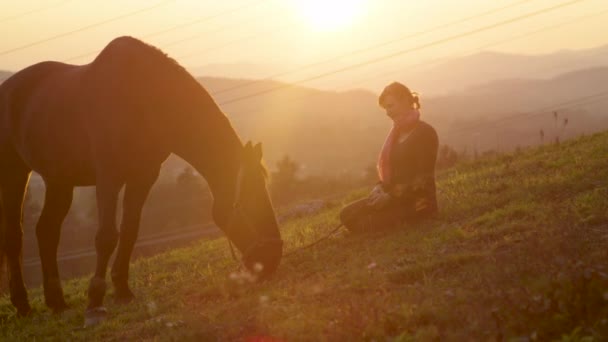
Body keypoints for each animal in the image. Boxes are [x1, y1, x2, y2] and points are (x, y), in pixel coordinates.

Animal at [0, 36, 284, 320]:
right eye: (243, 201)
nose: (272, 258)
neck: (143, 96)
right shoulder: (109, 177)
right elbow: (106, 236)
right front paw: (95, 300)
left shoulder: (144, 176)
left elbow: (130, 231)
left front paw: (122, 290)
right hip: (15, 174)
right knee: (14, 237)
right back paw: (22, 304)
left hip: (59, 180)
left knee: (46, 231)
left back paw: (56, 301)